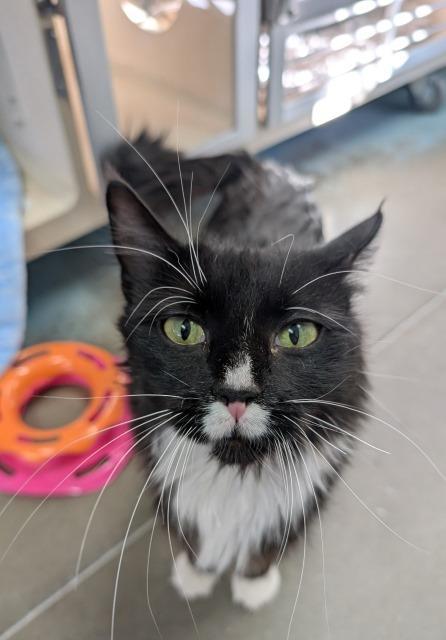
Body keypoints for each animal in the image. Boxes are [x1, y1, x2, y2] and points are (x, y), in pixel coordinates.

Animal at [105, 135, 384, 608]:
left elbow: (275, 533)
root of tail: (264, 166)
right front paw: (195, 573)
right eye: (183, 330)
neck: (236, 471)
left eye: (296, 335)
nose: (238, 394)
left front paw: (254, 583)